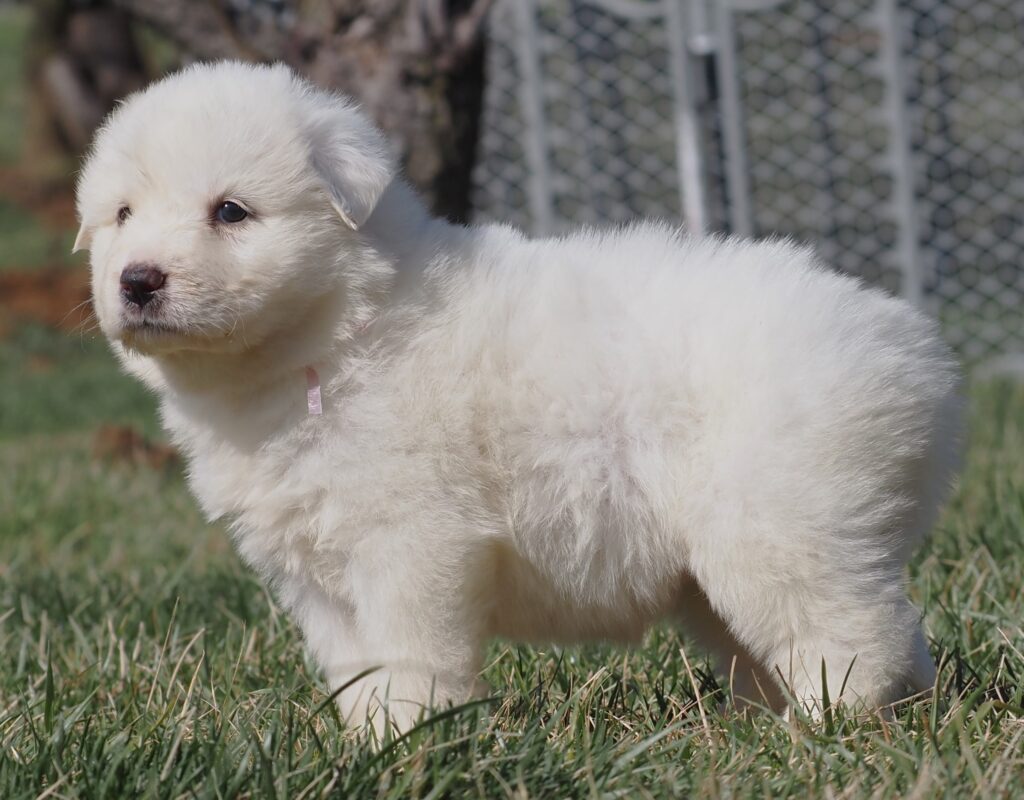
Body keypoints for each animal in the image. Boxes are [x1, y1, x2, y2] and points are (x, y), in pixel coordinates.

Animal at [77, 62, 958, 733]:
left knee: (851, 634)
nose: (137, 281)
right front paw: (361, 743)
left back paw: (816, 729)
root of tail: (913, 354)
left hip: (775, 525)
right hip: (749, 558)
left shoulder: (411, 542)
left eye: (231, 211)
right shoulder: (312, 570)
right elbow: (352, 663)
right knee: (864, 636)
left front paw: (410, 737)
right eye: (120, 215)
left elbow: (411, 652)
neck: (330, 337)